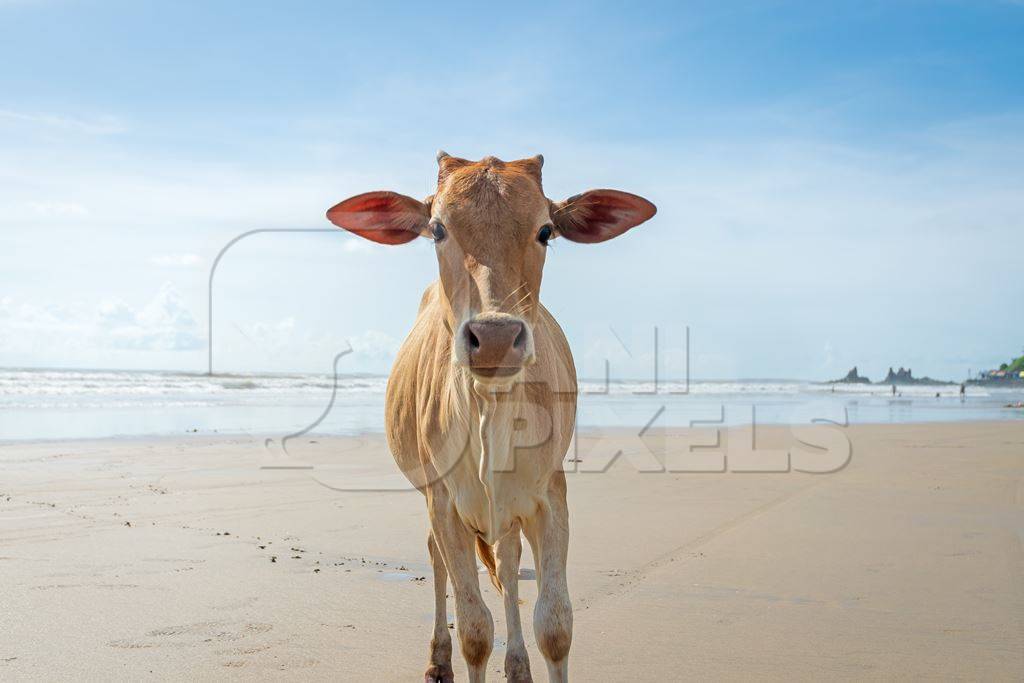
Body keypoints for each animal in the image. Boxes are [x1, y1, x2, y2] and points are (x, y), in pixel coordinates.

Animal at [327, 152, 655, 679]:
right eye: (437, 229)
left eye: (546, 230)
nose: (496, 337)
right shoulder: (444, 501)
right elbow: (475, 630)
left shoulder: (549, 495)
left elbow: (555, 624)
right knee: (437, 560)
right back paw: (438, 659)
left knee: (506, 561)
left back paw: (517, 664)